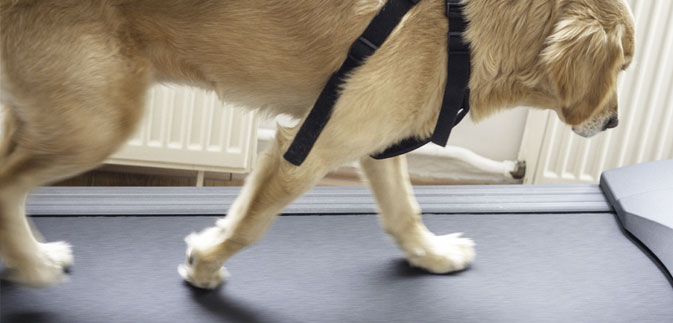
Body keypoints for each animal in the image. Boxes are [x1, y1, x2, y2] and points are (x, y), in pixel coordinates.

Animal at [0, 0, 632, 288]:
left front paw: (432, 255)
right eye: (624, 66)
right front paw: (204, 265)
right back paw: (33, 266)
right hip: (98, 119)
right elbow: (249, 226)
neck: (463, 30)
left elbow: (403, 212)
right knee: (8, 186)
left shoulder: (371, 137)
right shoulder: (306, 150)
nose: (615, 122)